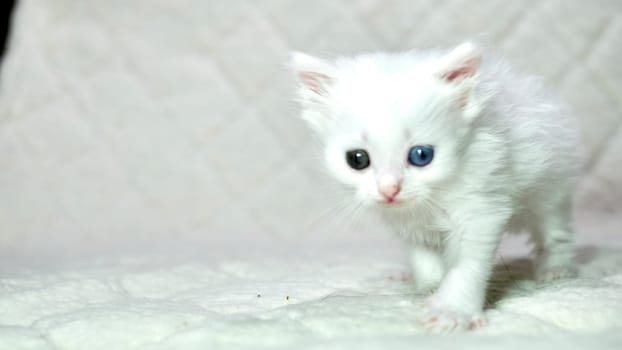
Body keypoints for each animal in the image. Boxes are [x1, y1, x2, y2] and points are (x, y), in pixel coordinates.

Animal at [290, 42, 584, 332]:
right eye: (357, 159)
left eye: (421, 155)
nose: (389, 190)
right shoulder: (408, 222)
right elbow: (423, 257)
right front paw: (430, 287)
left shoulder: (481, 206)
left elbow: (466, 265)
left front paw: (453, 311)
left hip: (551, 189)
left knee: (556, 232)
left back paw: (556, 269)